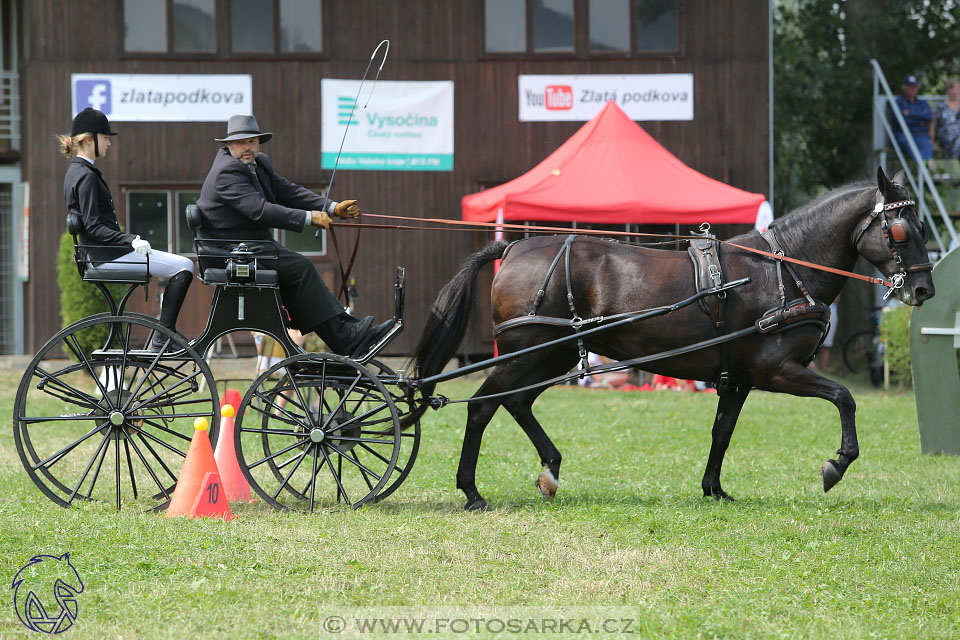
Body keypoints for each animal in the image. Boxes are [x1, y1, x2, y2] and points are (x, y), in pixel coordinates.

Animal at [408, 169, 932, 510]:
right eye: (900, 229)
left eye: (923, 226)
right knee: (483, 407)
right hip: (524, 353)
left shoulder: (738, 379)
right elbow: (844, 397)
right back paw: (472, 491)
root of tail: (514, 246)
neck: (782, 270)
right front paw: (837, 464)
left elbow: (723, 432)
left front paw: (714, 488)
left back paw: (549, 471)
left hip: (549, 356)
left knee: (516, 403)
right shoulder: (777, 371)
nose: (924, 289)